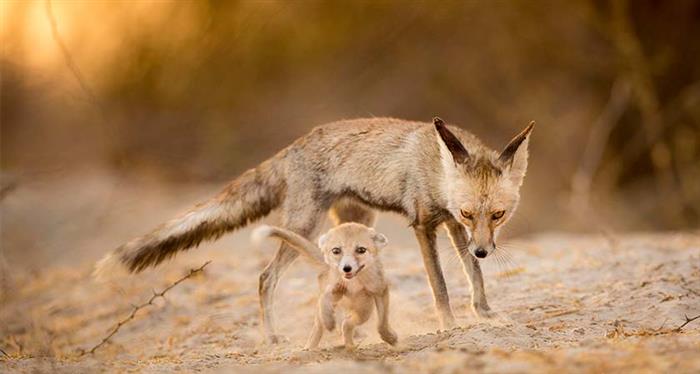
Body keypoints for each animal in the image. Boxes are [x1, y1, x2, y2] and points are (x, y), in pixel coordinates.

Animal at [95, 117, 532, 342]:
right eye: (469, 211)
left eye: (498, 215)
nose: (484, 250)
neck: (436, 171)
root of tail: (294, 145)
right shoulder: (425, 224)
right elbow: (440, 286)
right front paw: (449, 326)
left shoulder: (453, 228)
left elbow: (474, 279)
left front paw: (486, 315)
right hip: (305, 225)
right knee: (265, 277)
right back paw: (274, 339)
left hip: (355, 228)